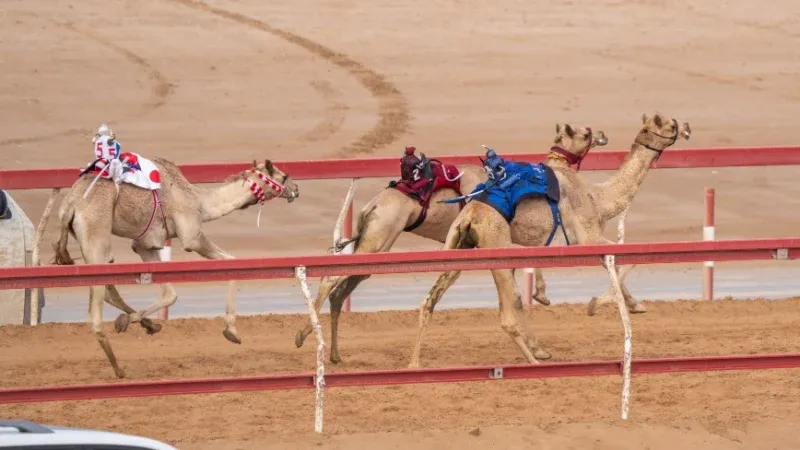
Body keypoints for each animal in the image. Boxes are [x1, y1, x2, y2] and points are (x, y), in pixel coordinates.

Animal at [294, 125, 608, 364]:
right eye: (584, 133)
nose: (603, 135)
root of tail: (371, 206)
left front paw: (540, 343)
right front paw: (540, 316)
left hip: (375, 243)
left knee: (341, 289)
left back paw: (335, 355)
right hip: (378, 238)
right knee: (331, 279)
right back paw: (302, 335)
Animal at [410, 112, 692, 370]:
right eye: (670, 124)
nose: (687, 127)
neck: (599, 197)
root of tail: (469, 217)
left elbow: (615, 263)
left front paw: (633, 304)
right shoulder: (587, 237)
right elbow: (625, 259)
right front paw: (596, 304)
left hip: (457, 245)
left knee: (430, 300)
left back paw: (415, 364)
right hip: (496, 247)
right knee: (508, 312)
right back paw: (534, 360)